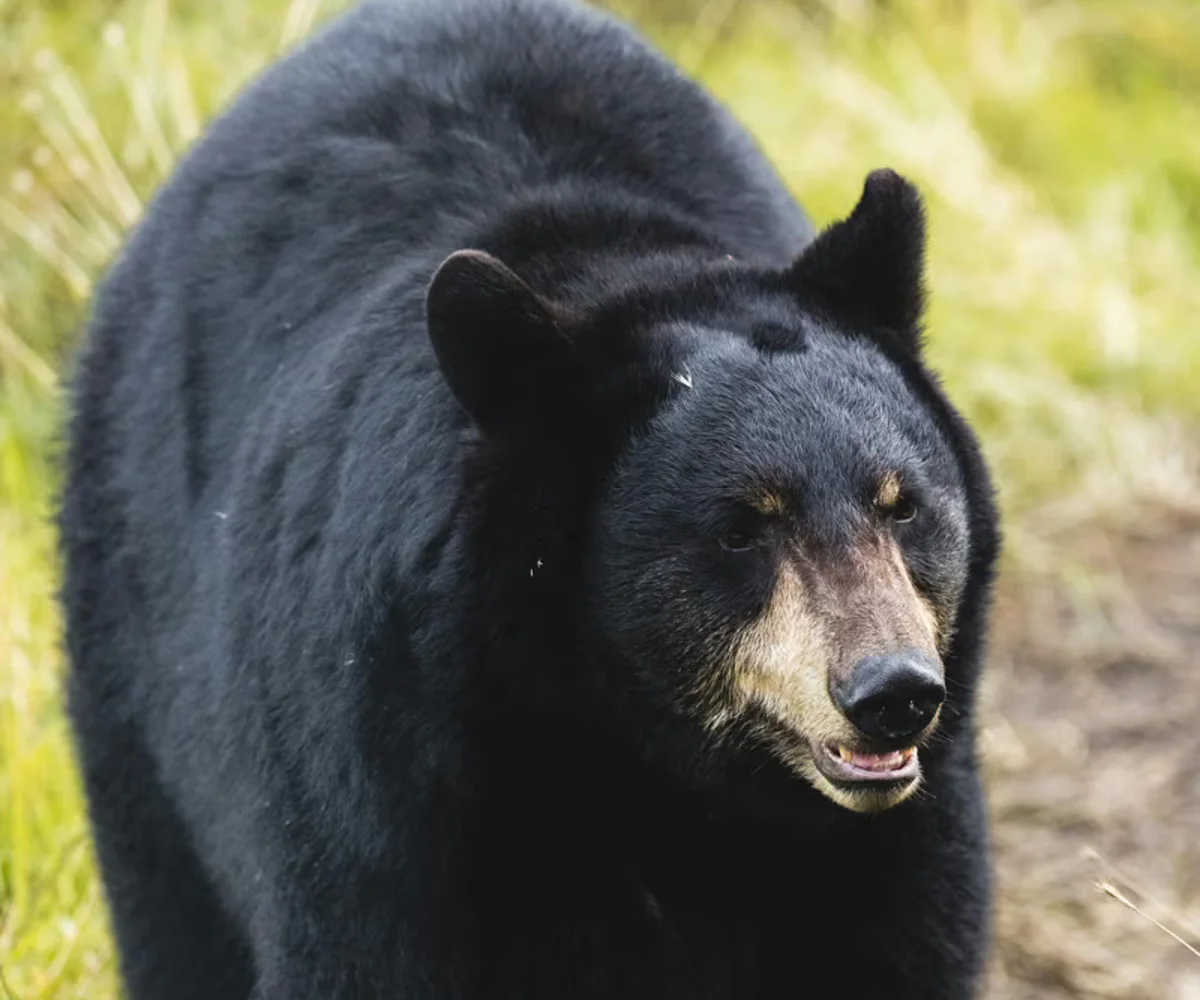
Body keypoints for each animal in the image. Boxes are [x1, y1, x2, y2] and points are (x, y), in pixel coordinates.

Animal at [58, 0, 1001, 998]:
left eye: (901, 504)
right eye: (741, 530)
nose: (892, 691)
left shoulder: (892, 846)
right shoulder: (395, 780)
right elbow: (363, 950)